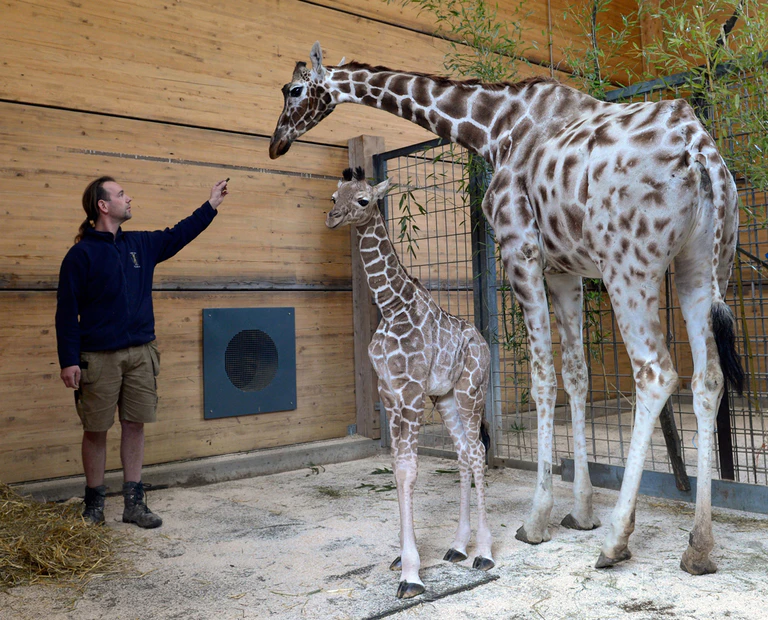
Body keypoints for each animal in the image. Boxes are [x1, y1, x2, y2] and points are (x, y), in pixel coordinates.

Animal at [327, 166, 493, 599]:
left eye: (364, 200)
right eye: (335, 195)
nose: (332, 217)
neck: (391, 306)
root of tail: (484, 342)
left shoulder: (412, 390)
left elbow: (408, 471)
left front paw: (412, 575)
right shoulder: (389, 392)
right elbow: (397, 466)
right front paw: (404, 560)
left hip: (471, 391)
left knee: (477, 453)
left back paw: (484, 553)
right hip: (446, 397)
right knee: (464, 454)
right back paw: (457, 546)